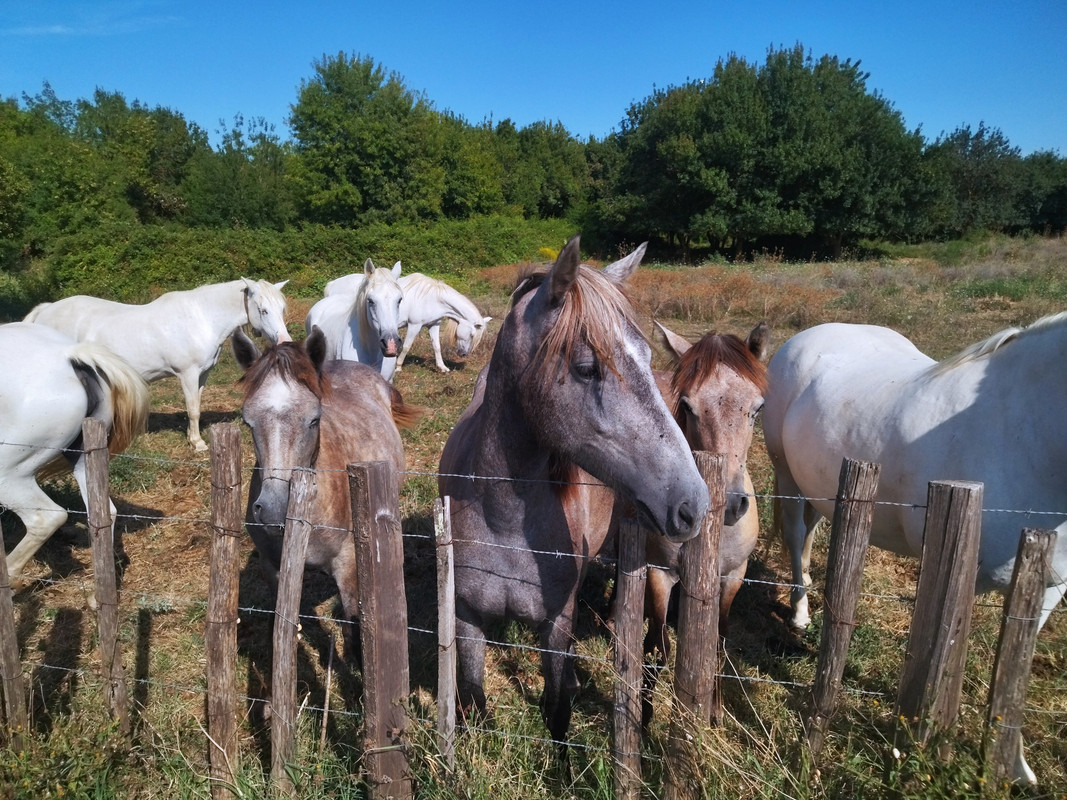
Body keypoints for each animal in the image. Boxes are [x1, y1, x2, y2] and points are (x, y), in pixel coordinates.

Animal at [24, 277, 290, 452]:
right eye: (263, 310)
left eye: (282, 308)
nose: (284, 341)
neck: (201, 318)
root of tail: (47, 310)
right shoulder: (188, 374)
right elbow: (193, 409)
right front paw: (198, 444)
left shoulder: (202, 375)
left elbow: (197, 406)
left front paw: (192, 436)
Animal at [231, 326, 423, 657]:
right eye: (248, 422)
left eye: (314, 419)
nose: (273, 509)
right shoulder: (273, 568)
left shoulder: (347, 567)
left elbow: (353, 627)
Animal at [437, 235, 710, 754]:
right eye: (587, 368)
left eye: (648, 359)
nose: (694, 505)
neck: (502, 517)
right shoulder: (466, 620)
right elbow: (474, 702)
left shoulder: (555, 627)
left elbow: (557, 710)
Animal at [636, 320, 769, 722]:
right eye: (688, 406)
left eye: (757, 408)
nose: (730, 505)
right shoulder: (659, 572)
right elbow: (658, 647)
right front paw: (644, 718)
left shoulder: (733, 576)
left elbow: (720, 644)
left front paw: (716, 710)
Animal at [762, 315, 1067, 785]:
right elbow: (941, 661)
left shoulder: (1048, 588)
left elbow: (1016, 670)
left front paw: (1016, 770)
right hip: (786, 475)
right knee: (797, 538)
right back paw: (799, 613)